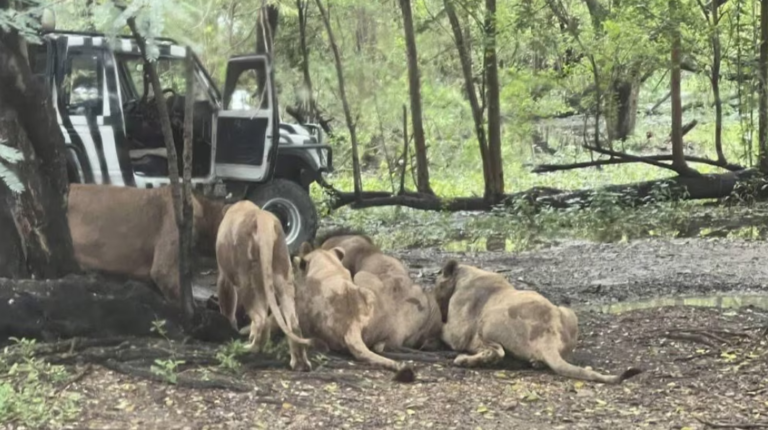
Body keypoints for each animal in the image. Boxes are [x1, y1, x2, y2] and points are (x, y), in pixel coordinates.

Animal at [215, 201, 312, 371]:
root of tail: (263, 219)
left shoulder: (224, 275)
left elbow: (227, 304)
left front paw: (231, 325)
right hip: (282, 273)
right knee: (293, 322)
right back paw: (300, 363)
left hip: (247, 279)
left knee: (262, 319)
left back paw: (250, 348)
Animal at [433, 260, 643, 384]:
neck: (466, 275)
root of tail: (548, 334)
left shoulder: (457, 333)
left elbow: (443, 329)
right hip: (567, 312)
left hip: (490, 319)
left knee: (496, 352)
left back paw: (463, 360)